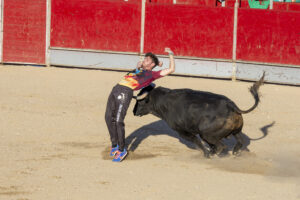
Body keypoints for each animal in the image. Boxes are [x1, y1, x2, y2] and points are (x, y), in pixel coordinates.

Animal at [132, 73, 264, 158]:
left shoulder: (183, 132)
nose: (134, 112)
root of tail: (231, 105)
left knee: (220, 146)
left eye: (140, 102)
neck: (163, 101)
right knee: (239, 141)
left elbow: (197, 142)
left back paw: (213, 154)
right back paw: (235, 153)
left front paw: (206, 153)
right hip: (236, 131)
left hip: (207, 134)